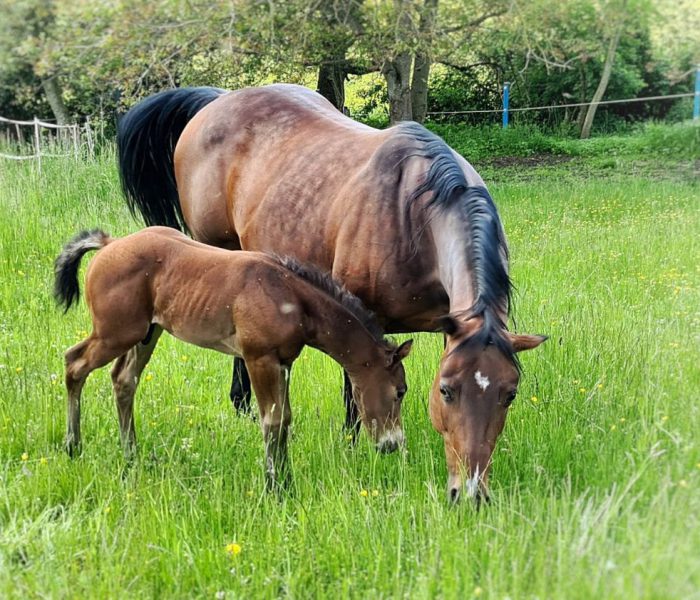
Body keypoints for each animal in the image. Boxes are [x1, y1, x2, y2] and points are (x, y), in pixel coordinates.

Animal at [54, 226, 412, 489]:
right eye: (400, 391)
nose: (392, 444)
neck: (292, 298)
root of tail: (109, 244)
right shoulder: (259, 358)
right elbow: (272, 421)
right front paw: (275, 486)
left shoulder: (284, 363)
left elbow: (284, 419)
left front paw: (285, 479)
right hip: (116, 333)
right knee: (74, 363)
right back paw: (73, 446)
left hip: (146, 333)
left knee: (124, 380)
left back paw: (131, 454)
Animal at [117, 83, 547, 503]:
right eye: (446, 391)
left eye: (509, 394)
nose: (470, 494)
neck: (413, 217)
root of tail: (218, 99)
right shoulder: (361, 317)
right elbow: (355, 389)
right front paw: (353, 445)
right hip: (219, 253)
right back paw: (242, 406)